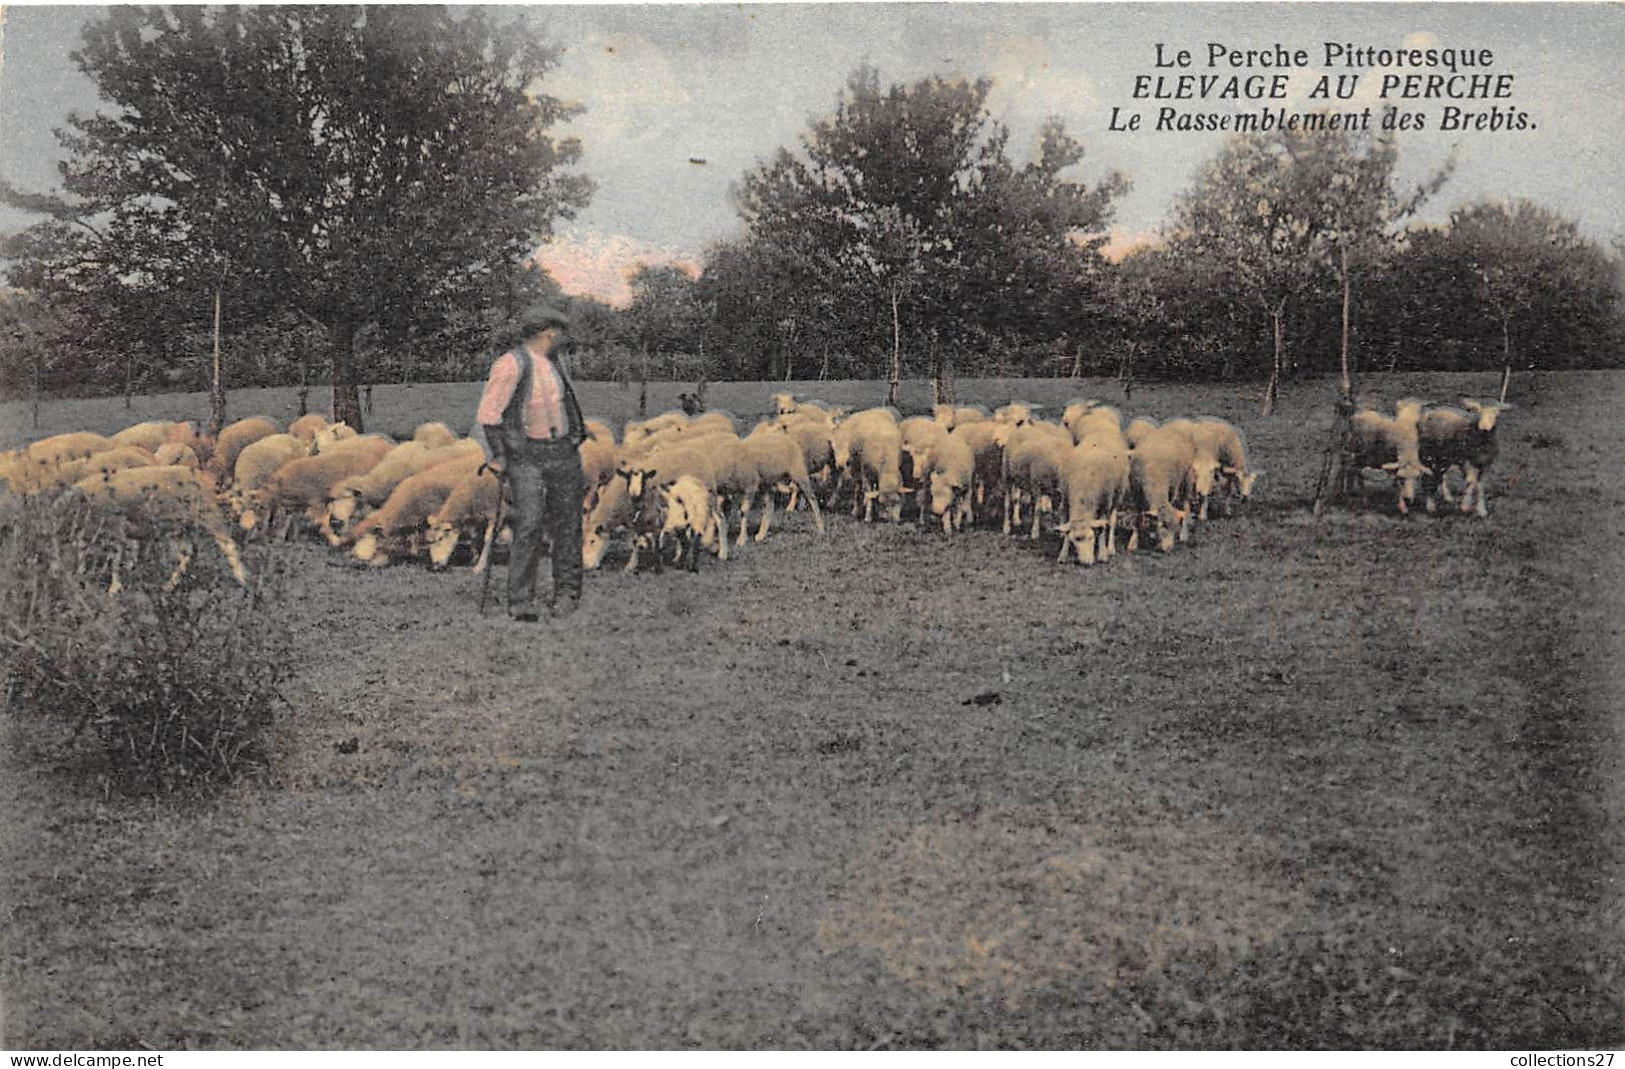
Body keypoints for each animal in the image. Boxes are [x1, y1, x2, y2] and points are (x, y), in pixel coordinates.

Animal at [70, 464, 248, 588]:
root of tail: (194, 472)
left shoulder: (116, 529)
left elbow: (115, 560)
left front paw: (114, 588)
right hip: (180, 527)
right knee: (186, 553)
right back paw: (170, 585)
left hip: (209, 515)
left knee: (228, 545)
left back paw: (241, 579)